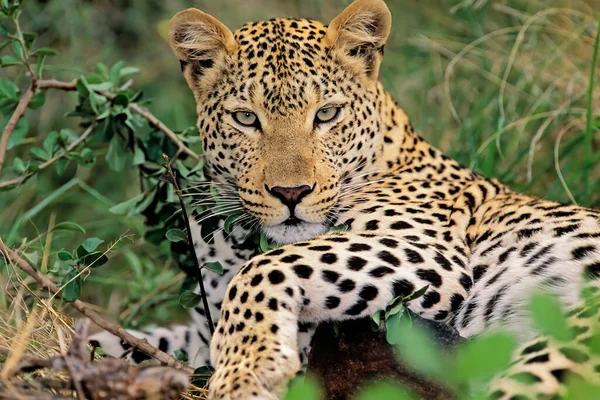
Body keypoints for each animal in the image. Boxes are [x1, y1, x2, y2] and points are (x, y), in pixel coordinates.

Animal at [90, 0, 600, 400]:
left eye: (327, 114)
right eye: (246, 118)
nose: (291, 193)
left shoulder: (430, 252)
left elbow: (265, 268)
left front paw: (247, 371)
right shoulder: (200, 330)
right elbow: (133, 338)